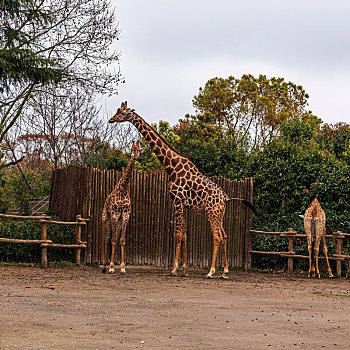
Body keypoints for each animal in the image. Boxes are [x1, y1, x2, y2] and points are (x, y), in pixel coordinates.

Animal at [101, 141, 141, 274]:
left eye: (139, 149)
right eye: (131, 149)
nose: (135, 157)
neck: (123, 189)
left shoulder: (125, 215)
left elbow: (121, 240)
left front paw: (123, 268)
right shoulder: (114, 215)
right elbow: (112, 240)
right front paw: (112, 267)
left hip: (118, 222)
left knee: (114, 237)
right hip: (106, 219)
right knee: (107, 238)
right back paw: (104, 267)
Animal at [107, 102, 258, 278]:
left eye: (123, 113)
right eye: (118, 111)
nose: (111, 120)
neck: (172, 167)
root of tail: (225, 198)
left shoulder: (177, 202)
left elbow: (178, 235)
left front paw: (174, 269)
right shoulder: (183, 205)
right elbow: (184, 234)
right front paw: (185, 270)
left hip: (211, 212)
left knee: (217, 237)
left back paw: (211, 271)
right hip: (220, 214)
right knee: (224, 236)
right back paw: (225, 271)